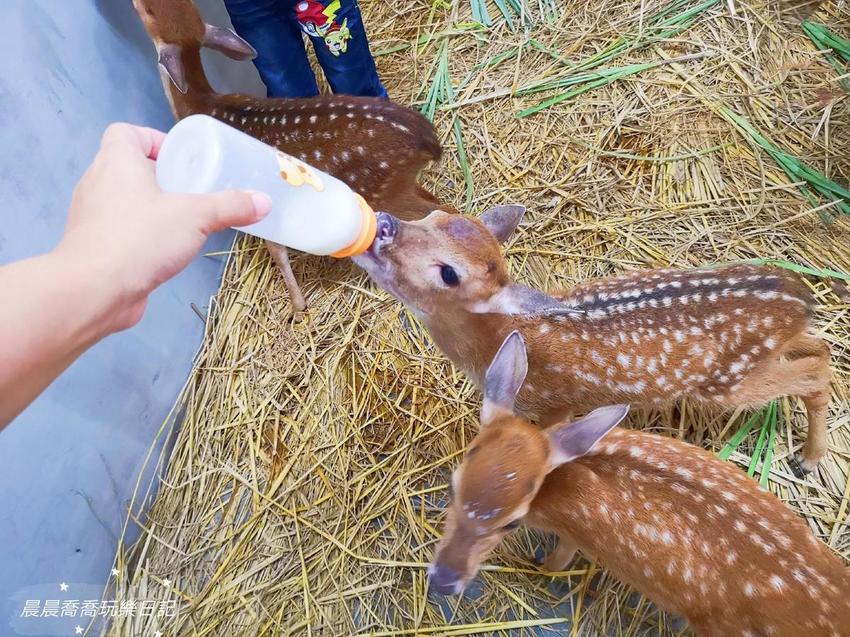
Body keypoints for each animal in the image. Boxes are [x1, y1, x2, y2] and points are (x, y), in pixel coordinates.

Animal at [132, 0, 453, 311]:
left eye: (148, 11)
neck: (202, 104)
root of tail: (425, 138)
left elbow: (277, 249)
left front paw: (298, 305)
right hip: (397, 184)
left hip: (379, 189)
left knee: (437, 210)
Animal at [352, 206, 833, 475]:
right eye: (434, 217)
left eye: (449, 273)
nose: (384, 225)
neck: (494, 344)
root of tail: (797, 294)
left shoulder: (555, 403)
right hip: (767, 352)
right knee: (820, 346)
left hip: (729, 382)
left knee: (812, 372)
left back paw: (808, 460)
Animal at [429, 331, 850, 636]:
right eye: (452, 486)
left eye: (512, 522)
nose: (444, 581)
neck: (552, 491)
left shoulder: (577, 534)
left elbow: (559, 560)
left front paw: (541, 564)